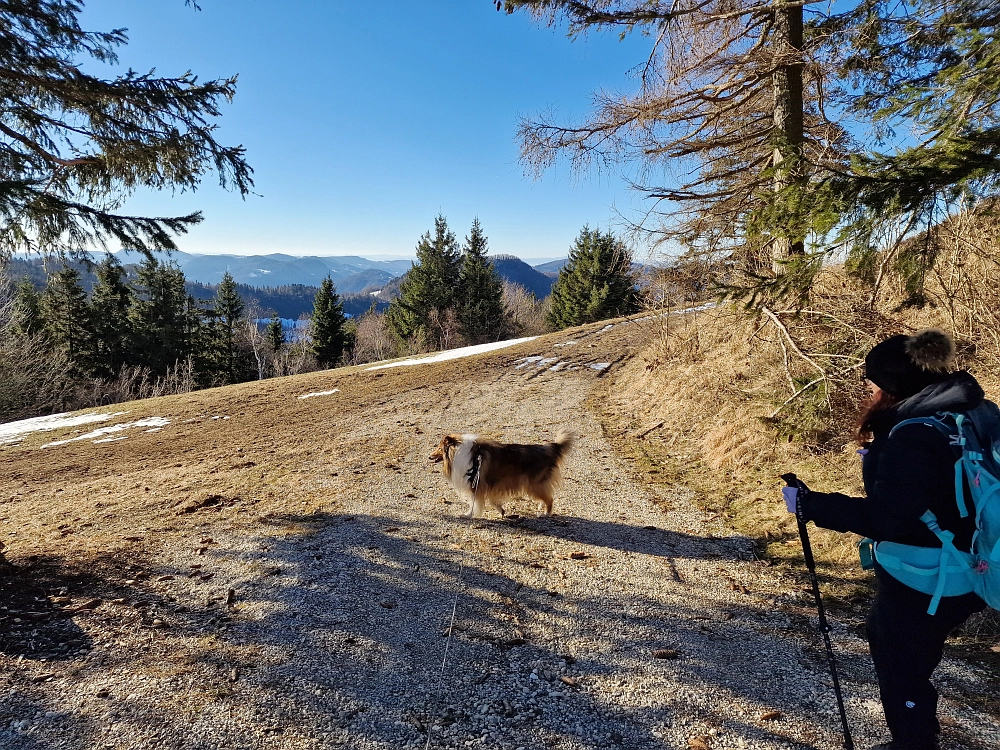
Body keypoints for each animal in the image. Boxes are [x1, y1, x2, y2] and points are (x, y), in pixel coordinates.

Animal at [428, 432, 576, 520]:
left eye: (439, 448)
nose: (429, 456)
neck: (458, 452)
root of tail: (550, 448)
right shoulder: (486, 485)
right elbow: (492, 501)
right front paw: (501, 510)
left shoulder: (476, 484)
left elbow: (474, 503)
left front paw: (467, 515)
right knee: (546, 497)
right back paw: (541, 508)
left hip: (534, 486)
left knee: (550, 499)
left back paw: (545, 514)